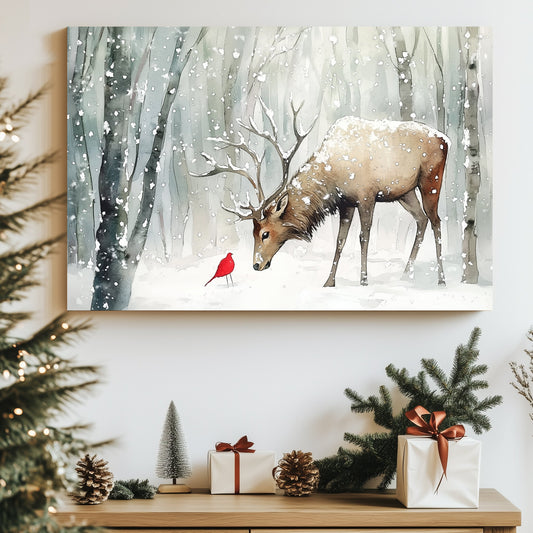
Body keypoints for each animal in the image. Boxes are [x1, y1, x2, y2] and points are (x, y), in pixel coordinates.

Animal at [189, 96, 446, 286]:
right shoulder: (346, 202)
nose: (256, 265)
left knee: (435, 220)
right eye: (253, 233)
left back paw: (441, 278)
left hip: (431, 180)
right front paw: (329, 281)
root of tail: (446, 140)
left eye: (265, 233)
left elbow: (363, 237)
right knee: (421, 219)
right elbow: (340, 240)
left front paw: (363, 280)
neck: (333, 177)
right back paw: (406, 273)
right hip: (405, 192)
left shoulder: (366, 196)